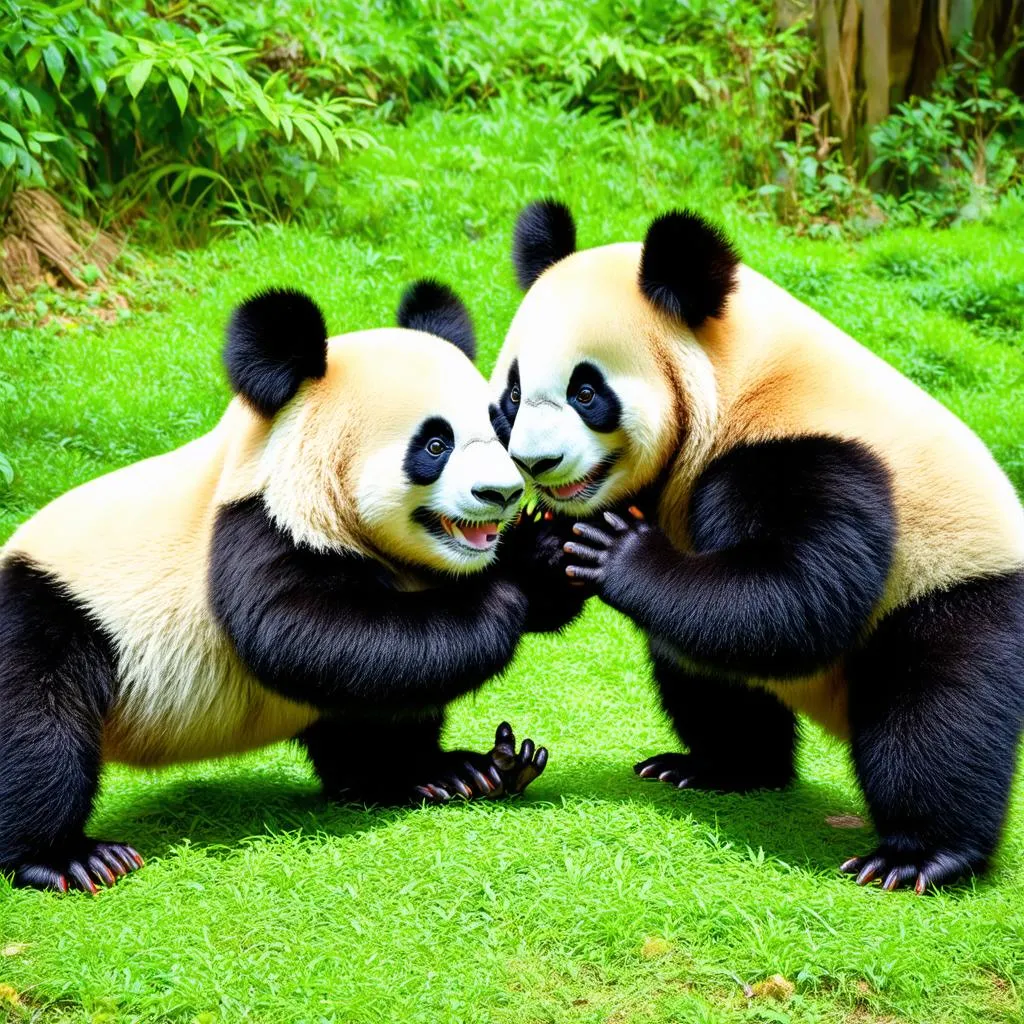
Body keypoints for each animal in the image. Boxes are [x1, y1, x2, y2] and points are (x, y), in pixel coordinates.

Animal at [0, 276, 569, 892]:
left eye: (500, 429)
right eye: (435, 445)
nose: (502, 493)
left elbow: (387, 670)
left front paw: (547, 553)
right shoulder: (257, 529)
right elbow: (310, 635)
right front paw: (506, 592)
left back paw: (459, 771)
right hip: (50, 612)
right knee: (36, 727)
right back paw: (66, 859)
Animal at [493, 199, 1024, 888]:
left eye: (586, 392)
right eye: (513, 393)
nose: (536, 462)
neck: (736, 370)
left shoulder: (812, 449)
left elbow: (798, 595)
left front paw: (617, 552)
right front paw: (545, 548)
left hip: (954, 583)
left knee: (940, 710)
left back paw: (920, 855)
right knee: (707, 674)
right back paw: (719, 766)